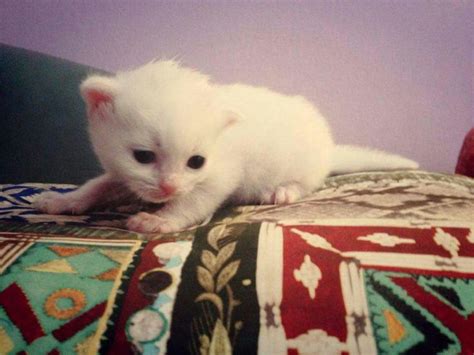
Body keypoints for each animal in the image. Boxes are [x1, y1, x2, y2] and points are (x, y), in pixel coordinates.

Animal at [34, 60, 418, 235]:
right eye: (143, 156)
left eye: (196, 162)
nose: (168, 187)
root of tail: (329, 148)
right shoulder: (121, 173)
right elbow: (98, 186)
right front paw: (63, 201)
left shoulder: (220, 176)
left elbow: (193, 202)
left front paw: (160, 220)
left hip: (304, 166)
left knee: (305, 183)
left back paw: (283, 191)